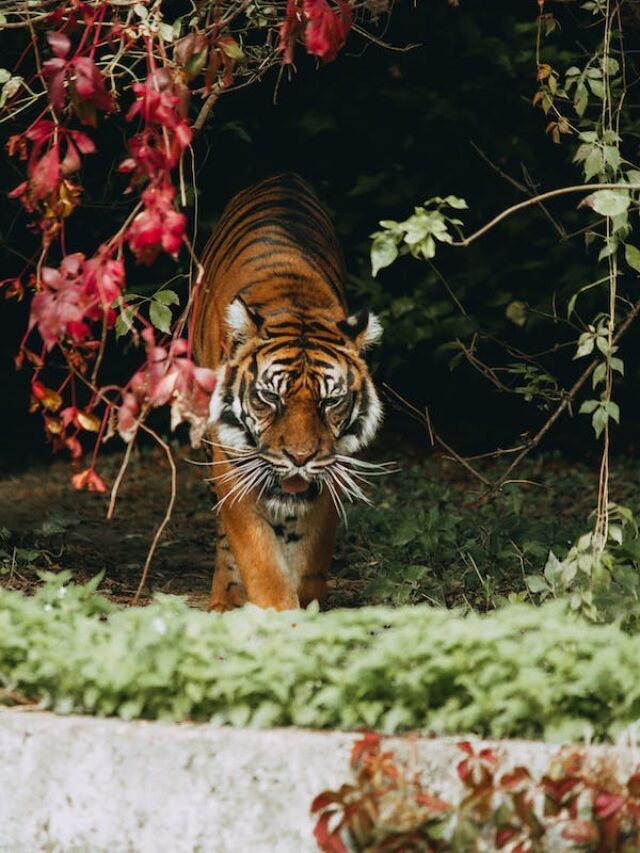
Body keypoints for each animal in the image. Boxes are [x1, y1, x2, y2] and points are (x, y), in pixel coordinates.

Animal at [195, 175, 382, 612]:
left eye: (330, 401)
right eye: (270, 398)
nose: (300, 458)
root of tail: (280, 176)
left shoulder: (331, 466)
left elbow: (311, 553)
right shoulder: (231, 461)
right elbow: (257, 552)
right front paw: (279, 613)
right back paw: (224, 599)